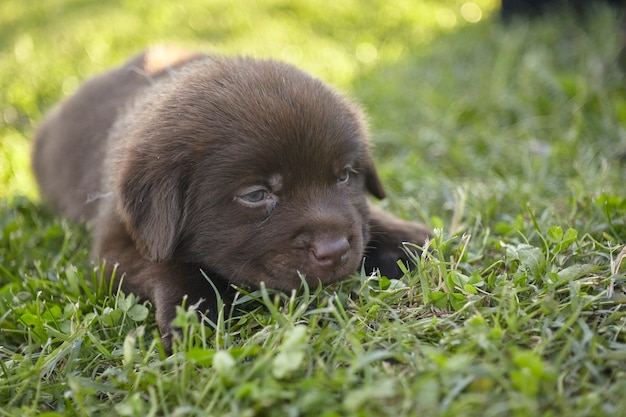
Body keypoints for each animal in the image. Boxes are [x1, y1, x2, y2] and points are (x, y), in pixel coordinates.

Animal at [33, 45, 428, 344]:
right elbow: (166, 264)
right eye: (255, 195)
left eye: (345, 176)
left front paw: (414, 239)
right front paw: (193, 313)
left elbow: (370, 220)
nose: (334, 251)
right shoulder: (114, 244)